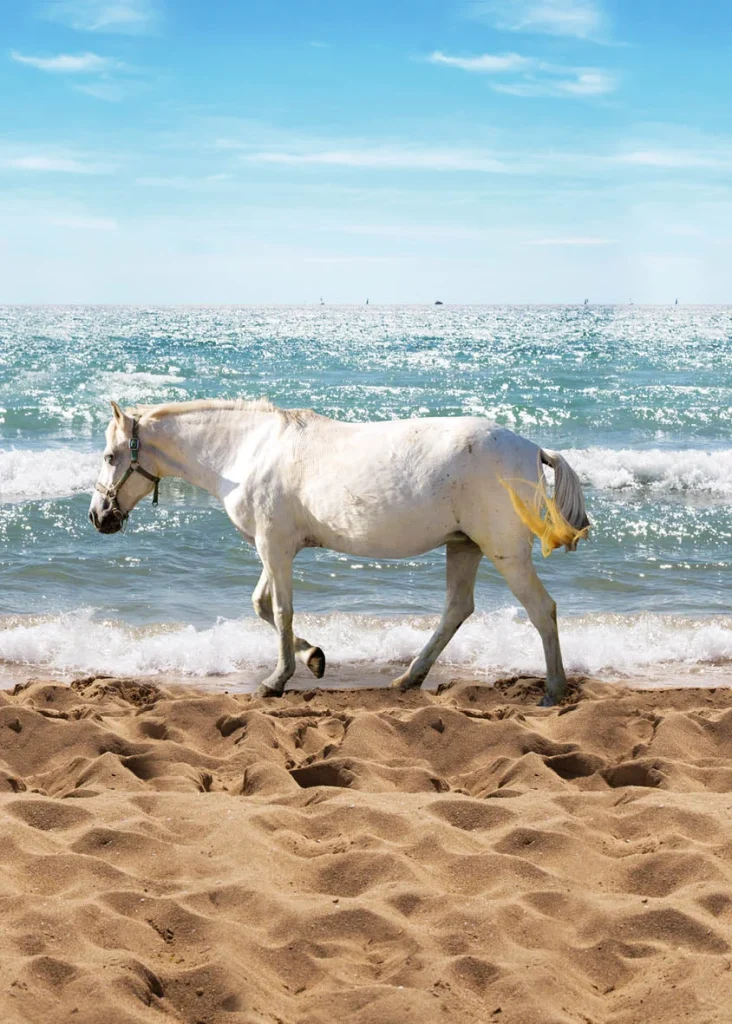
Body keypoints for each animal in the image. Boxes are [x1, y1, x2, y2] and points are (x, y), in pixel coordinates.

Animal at [89, 399, 589, 706]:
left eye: (112, 456)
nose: (98, 516)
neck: (247, 452)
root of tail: (533, 449)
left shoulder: (274, 547)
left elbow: (282, 611)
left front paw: (277, 680)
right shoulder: (273, 547)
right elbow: (262, 605)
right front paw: (314, 657)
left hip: (504, 552)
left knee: (541, 609)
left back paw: (553, 690)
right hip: (463, 546)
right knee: (456, 609)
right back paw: (409, 678)